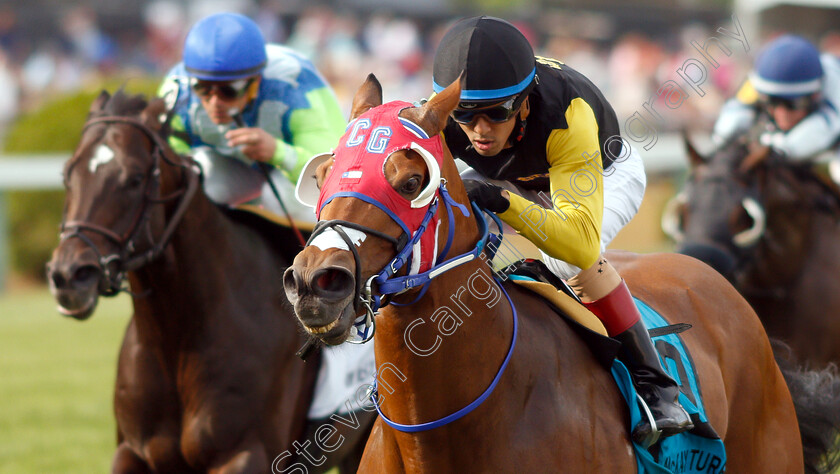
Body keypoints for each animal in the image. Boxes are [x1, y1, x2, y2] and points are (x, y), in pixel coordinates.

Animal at [46, 90, 372, 472]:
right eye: (67, 175)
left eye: (135, 178)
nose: (69, 275)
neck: (176, 339)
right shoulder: (130, 451)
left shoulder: (244, 453)